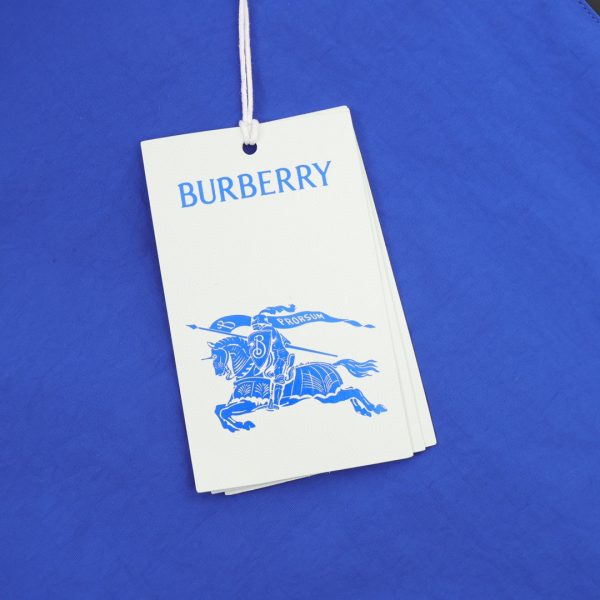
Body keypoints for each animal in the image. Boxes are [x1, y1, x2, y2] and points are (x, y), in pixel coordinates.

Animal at [208, 336, 387, 432]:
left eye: (217, 357)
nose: (218, 373)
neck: (251, 372)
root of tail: (333, 365)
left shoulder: (250, 403)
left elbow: (223, 411)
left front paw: (241, 425)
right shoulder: (240, 403)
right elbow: (219, 409)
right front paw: (232, 427)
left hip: (328, 396)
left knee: (355, 391)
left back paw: (374, 408)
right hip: (331, 395)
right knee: (352, 391)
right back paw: (364, 410)